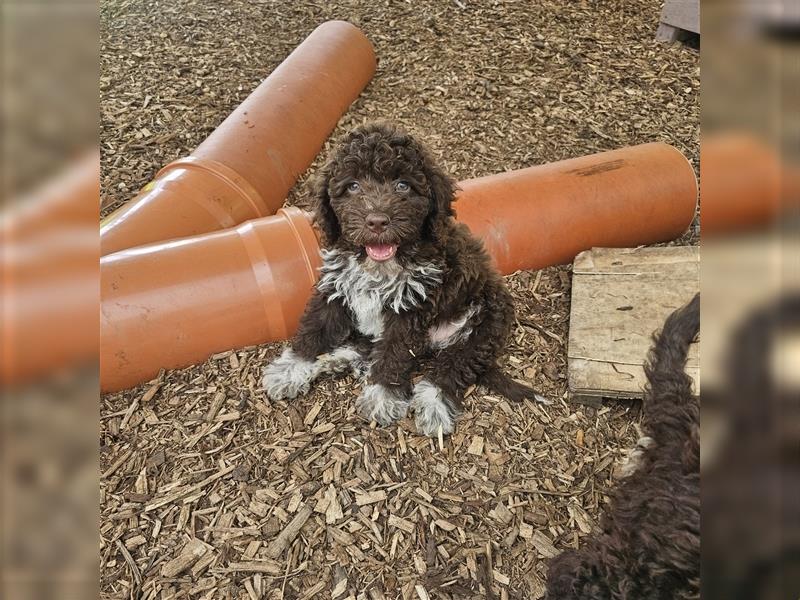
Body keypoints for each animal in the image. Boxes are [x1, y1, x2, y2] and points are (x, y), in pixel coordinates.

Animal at [262, 122, 544, 436]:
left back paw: (433, 404)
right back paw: (334, 361)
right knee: (369, 347)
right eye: (353, 186)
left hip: (485, 324)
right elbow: (314, 329)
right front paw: (290, 369)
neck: (378, 265)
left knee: (454, 366)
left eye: (403, 185)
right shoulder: (336, 288)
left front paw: (382, 396)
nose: (377, 221)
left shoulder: (412, 307)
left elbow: (395, 352)